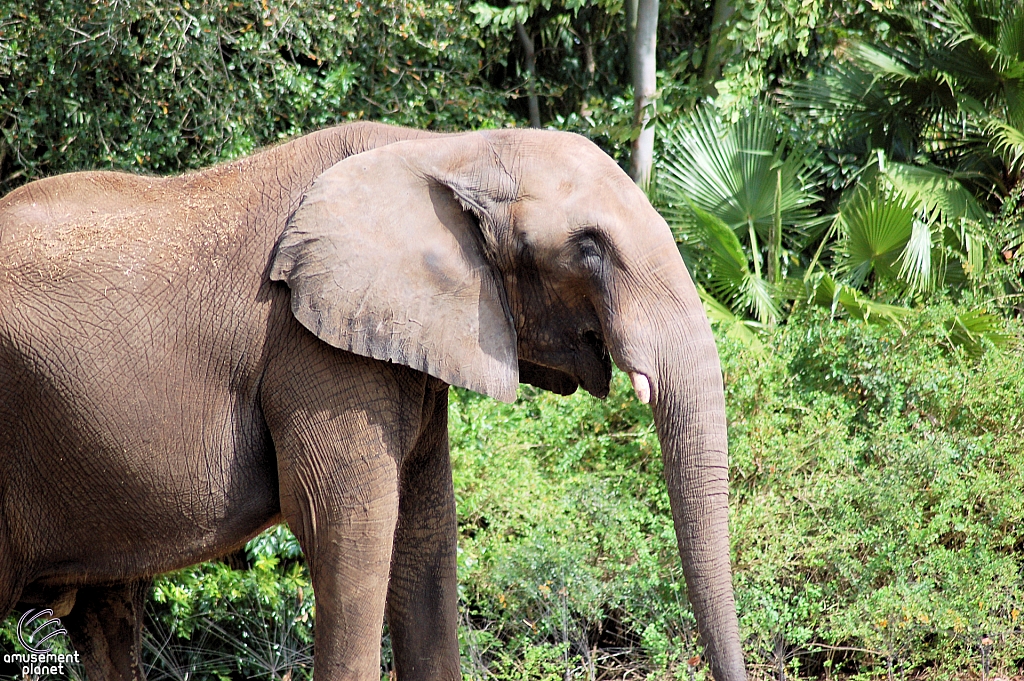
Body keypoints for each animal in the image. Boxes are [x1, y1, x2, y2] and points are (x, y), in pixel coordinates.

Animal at [0, 123, 741, 679]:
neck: (444, 149)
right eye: (588, 248)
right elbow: (349, 529)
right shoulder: (312, 350)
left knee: (105, 613)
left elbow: (425, 533)